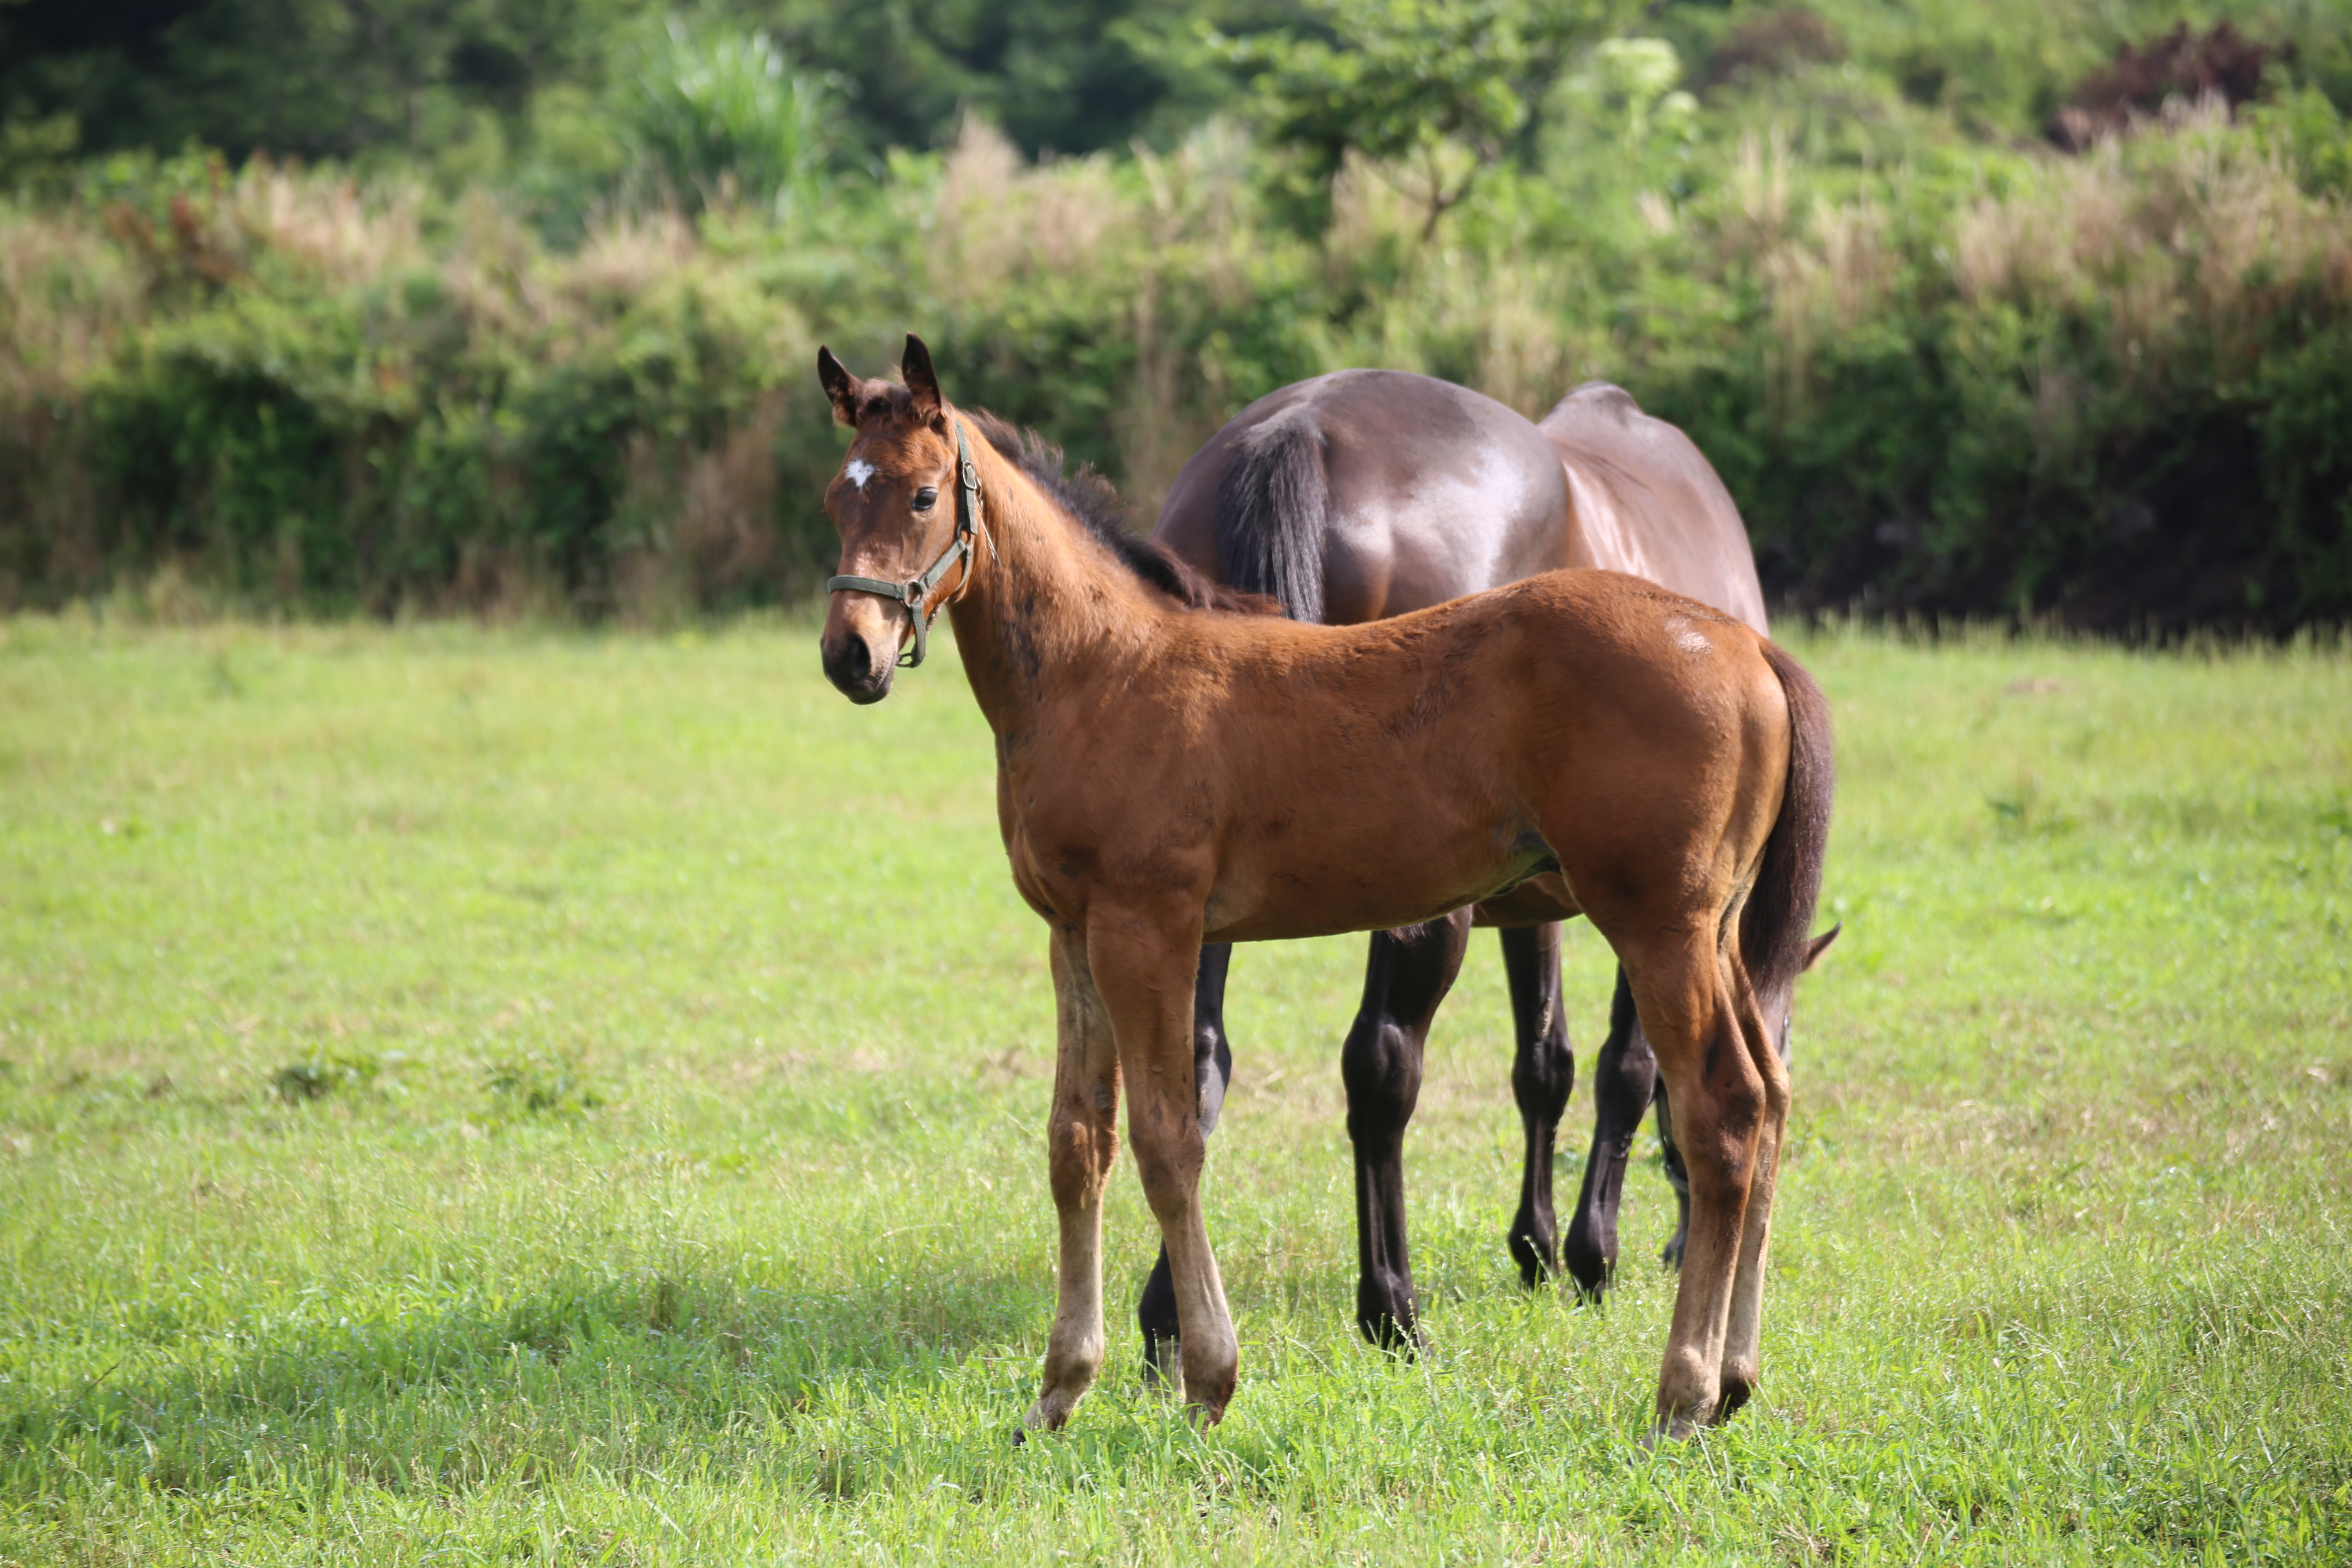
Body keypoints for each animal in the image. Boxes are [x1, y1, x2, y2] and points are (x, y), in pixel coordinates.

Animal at [818, 339, 1825, 1439]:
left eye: (923, 495)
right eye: (837, 497)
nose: (850, 654)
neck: (1106, 668)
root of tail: (1747, 644)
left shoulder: (1147, 925)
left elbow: (1167, 1139)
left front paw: (1206, 1380)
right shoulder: (1072, 932)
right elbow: (1076, 1143)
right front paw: (1058, 1390)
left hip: (1657, 925)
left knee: (1720, 1109)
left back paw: (1681, 1392)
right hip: (1714, 931)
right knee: (1770, 1092)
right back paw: (1732, 1377)